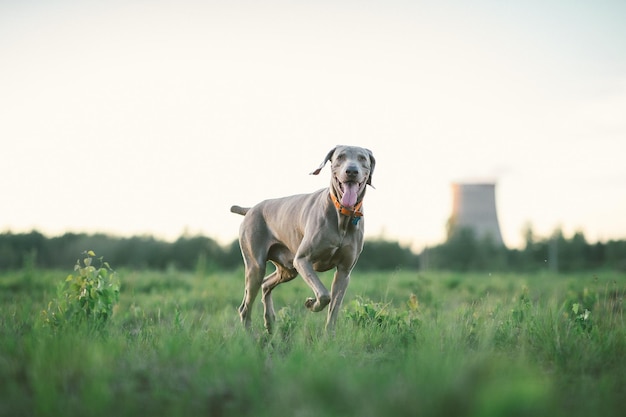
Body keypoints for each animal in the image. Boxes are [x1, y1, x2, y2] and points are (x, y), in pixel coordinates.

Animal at [230, 145, 372, 332]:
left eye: (362, 158)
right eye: (340, 157)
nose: (351, 171)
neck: (342, 215)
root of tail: (250, 209)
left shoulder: (344, 271)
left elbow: (333, 309)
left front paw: (329, 336)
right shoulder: (303, 259)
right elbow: (324, 295)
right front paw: (311, 303)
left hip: (288, 269)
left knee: (266, 284)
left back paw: (270, 321)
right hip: (256, 265)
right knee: (245, 307)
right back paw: (251, 336)